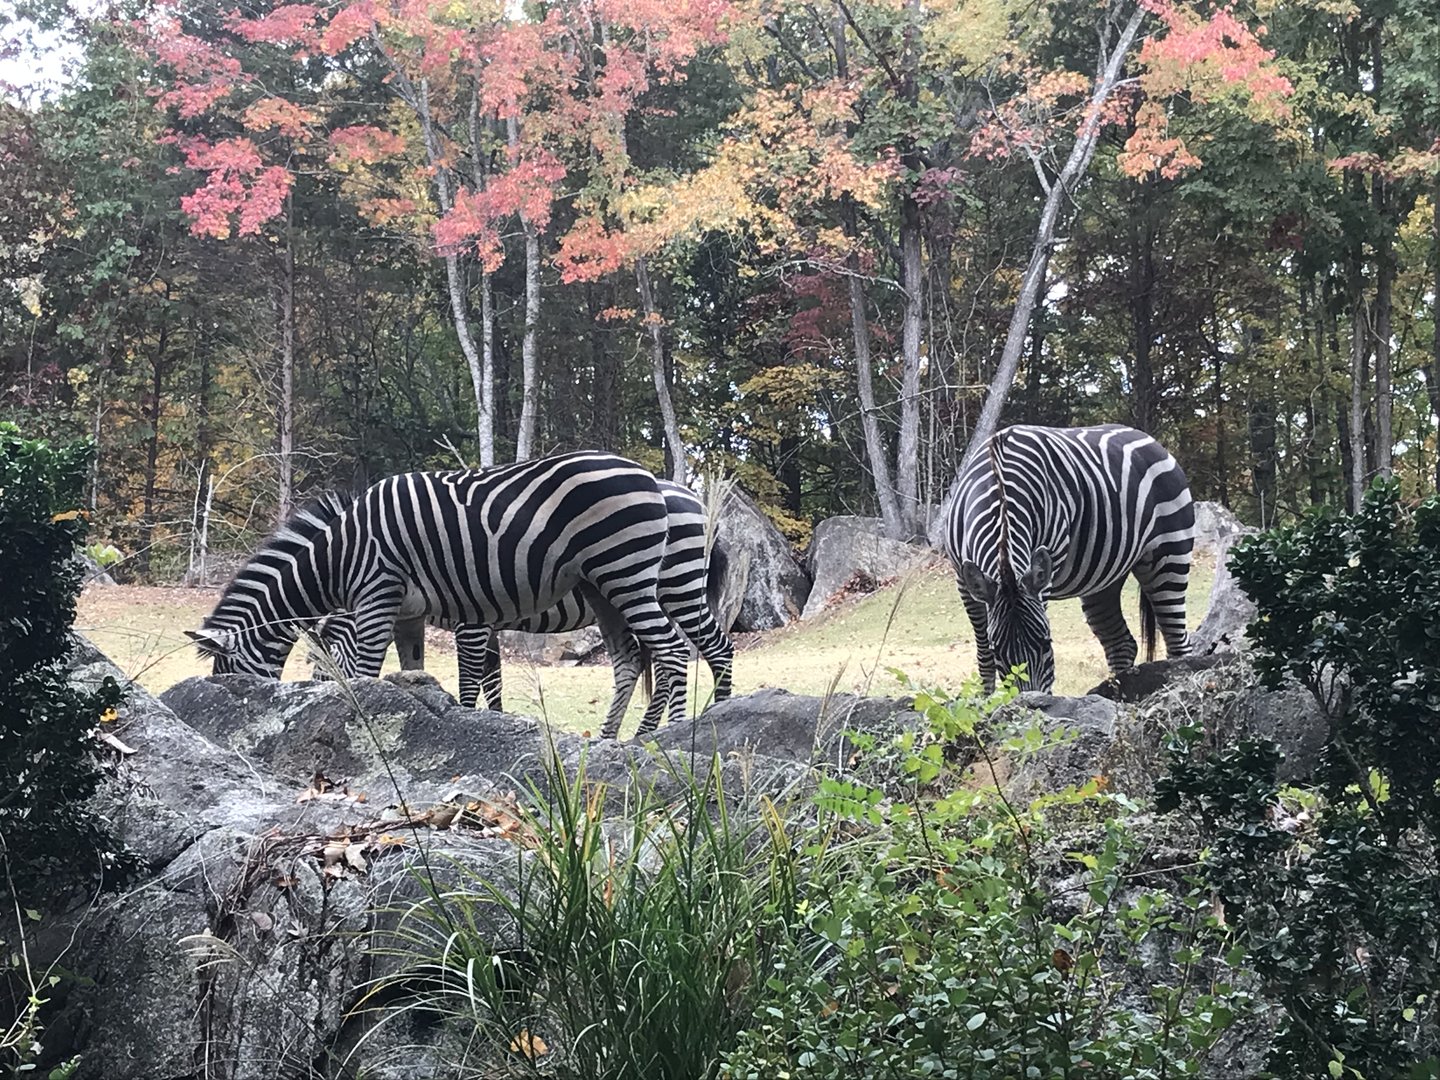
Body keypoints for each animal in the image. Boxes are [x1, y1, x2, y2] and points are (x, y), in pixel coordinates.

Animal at [187, 452, 697, 731]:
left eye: (229, 674)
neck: (340, 554)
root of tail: (654, 479)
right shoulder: (410, 616)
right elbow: (417, 674)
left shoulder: (389, 599)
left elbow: (387, 676)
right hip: (603, 589)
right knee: (638, 659)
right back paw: (619, 738)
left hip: (642, 578)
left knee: (680, 650)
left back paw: (670, 738)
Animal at [312, 480, 735, 737]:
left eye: (325, 650)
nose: (318, 700)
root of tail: (696, 501)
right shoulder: (486, 624)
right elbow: (492, 679)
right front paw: (495, 722)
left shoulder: (472, 623)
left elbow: (474, 680)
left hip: (663, 586)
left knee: (681, 657)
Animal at [942, 424, 1194, 692]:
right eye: (998, 650)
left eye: (1046, 643)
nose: (1031, 700)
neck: (999, 481)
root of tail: (1150, 439)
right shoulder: (963, 580)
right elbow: (983, 656)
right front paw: (986, 699)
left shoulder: (1046, 565)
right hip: (1104, 579)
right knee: (1121, 643)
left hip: (1170, 555)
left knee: (1178, 642)